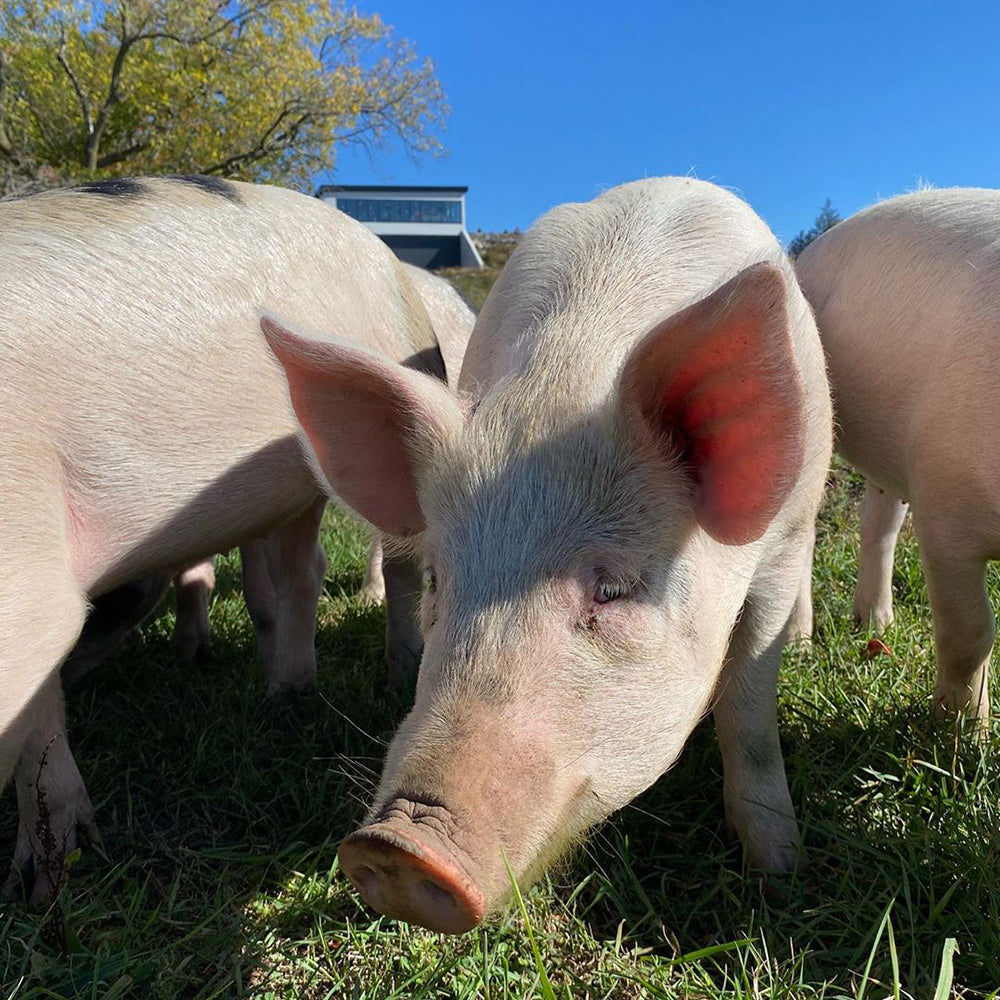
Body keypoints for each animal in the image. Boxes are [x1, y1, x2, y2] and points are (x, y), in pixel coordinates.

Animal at [0, 175, 443, 903]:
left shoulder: (25, 557)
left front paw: (43, 885)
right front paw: (44, 884)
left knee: (398, 566)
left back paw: (394, 673)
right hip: (295, 484)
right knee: (301, 571)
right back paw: (282, 691)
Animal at [262, 177, 834, 933]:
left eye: (614, 589)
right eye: (442, 581)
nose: (397, 845)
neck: (564, 388)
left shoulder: (779, 549)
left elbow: (748, 708)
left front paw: (779, 873)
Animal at [793, 187, 1000, 724]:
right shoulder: (944, 496)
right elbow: (970, 631)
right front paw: (958, 731)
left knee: (879, 524)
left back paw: (875, 627)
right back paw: (802, 643)